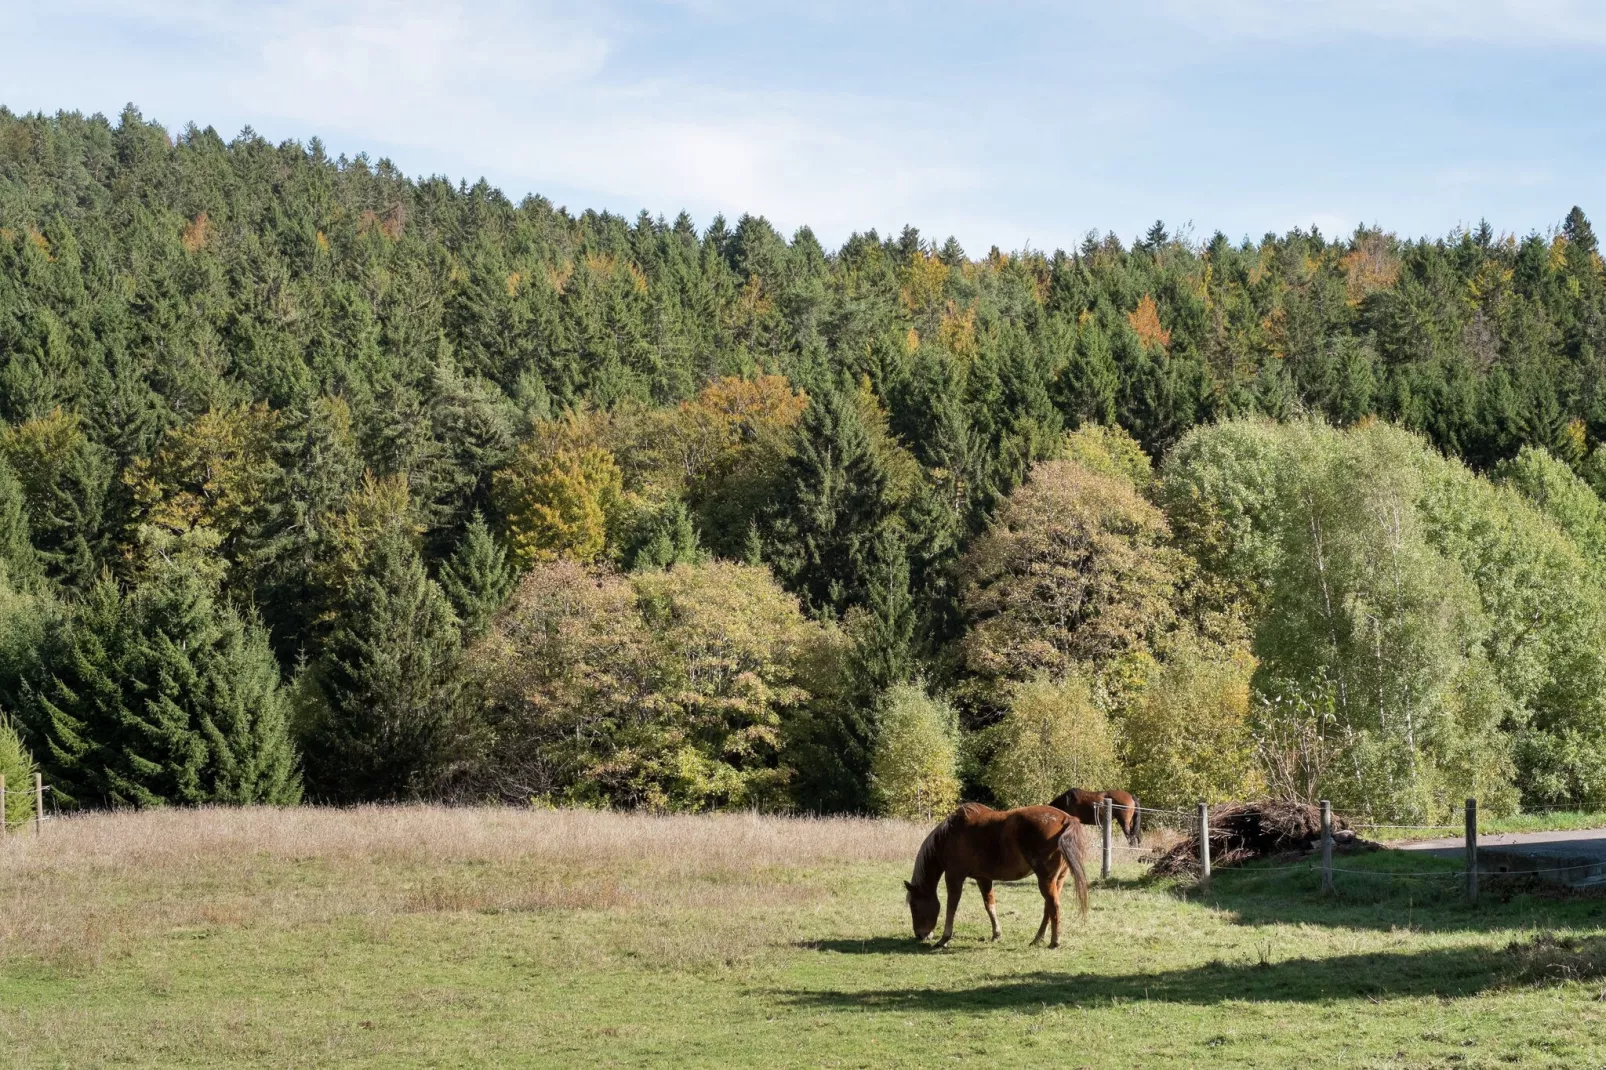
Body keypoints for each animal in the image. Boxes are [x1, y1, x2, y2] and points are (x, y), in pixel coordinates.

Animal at [905, 800, 1092, 951]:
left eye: (914, 905)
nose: (920, 935)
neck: (949, 835)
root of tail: (1066, 819)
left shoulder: (954, 877)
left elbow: (951, 907)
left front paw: (944, 939)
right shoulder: (983, 878)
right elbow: (990, 905)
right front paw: (996, 934)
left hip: (1046, 880)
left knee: (1054, 906)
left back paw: (1055, 941)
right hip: (1057, 880)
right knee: (1049, 908)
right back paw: (1038, 939)